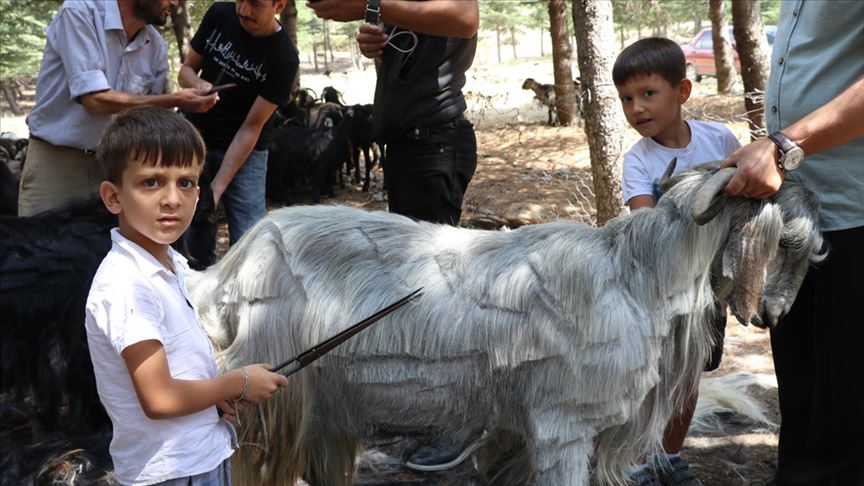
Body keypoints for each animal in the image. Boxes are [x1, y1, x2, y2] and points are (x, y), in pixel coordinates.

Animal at [186, 162, 820, 482]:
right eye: (792, 239)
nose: (774, 312)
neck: (638, 276)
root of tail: (222, 274)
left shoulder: (522, 431)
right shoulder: (565, 423)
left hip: (323, 409)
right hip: (269, 404)